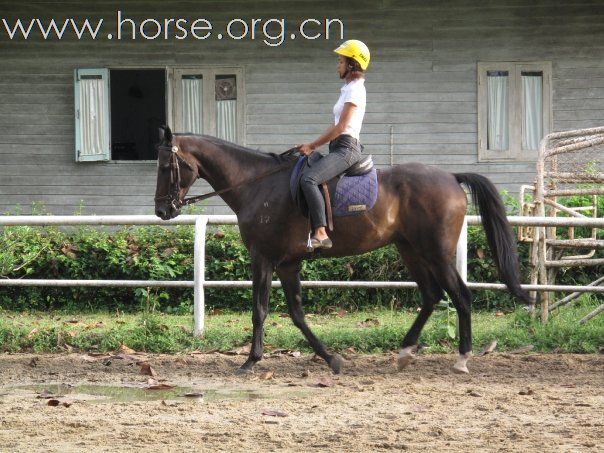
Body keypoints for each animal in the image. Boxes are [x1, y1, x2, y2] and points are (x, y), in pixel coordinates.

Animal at [155, 126, 528, 374]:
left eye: (165, 167)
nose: (162, 210)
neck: (257, 184)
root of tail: (451, 177)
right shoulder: (288, 264)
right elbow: (296, 314)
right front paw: (332, 358)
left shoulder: (263, 258)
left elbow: (260, 311)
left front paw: (250, 361)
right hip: (410, 250)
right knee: (432, 295)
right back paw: (405, 352)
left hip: (436, 252)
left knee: (460, 296)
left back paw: (462, 358)